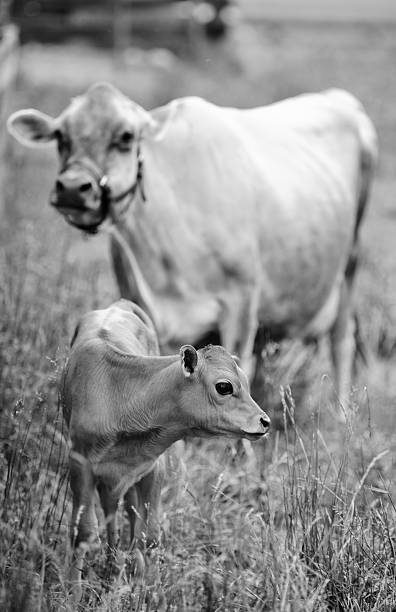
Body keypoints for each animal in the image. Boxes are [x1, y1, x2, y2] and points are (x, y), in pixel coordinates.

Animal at [6, 81, 378, 406]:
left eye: (126, 136)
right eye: (60, 136)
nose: (72, 187)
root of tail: (337, 97)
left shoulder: (242, 300)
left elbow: (238, 367)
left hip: (351, 262)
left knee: (342, 341)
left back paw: (341, 416)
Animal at [62, 298, 270, 600]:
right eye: (224, 386)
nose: (265, 421)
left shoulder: (152, 468)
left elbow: (149, 534)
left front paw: (150, 591)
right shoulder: (80, 465)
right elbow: (84, 532)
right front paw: (73, 593)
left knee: (124, 513)